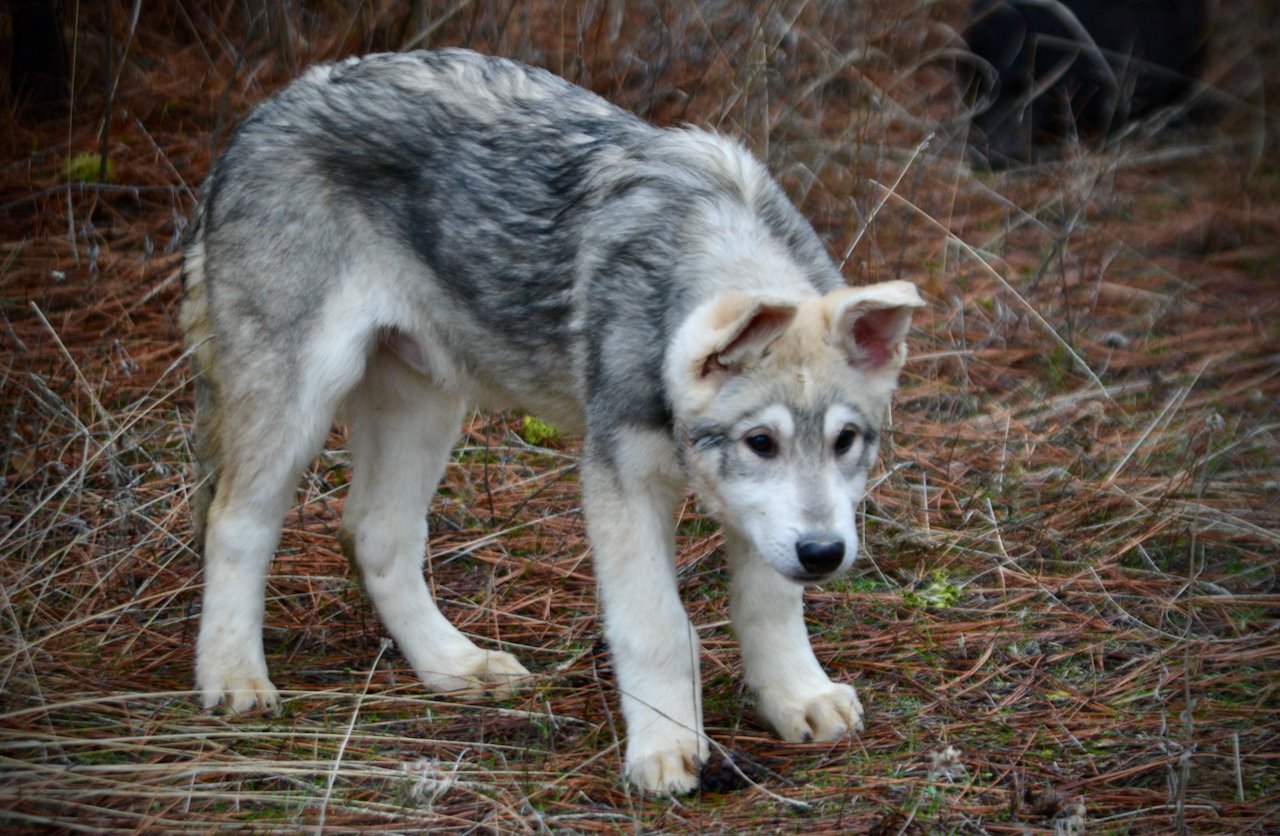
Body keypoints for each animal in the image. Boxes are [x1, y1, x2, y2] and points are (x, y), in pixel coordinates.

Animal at [183, 48, 921, 793]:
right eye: (761, 442)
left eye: (846, 442)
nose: (825, 555)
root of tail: (266, 111)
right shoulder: (619, 479)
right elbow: (656, 624)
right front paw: (664, 747)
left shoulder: (765, 522)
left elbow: (771, 606)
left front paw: (798, 697)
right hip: (297, 401)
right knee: (236, 522)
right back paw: (234, 678)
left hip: (425, 402)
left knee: (375, 534)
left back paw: (453, 666)